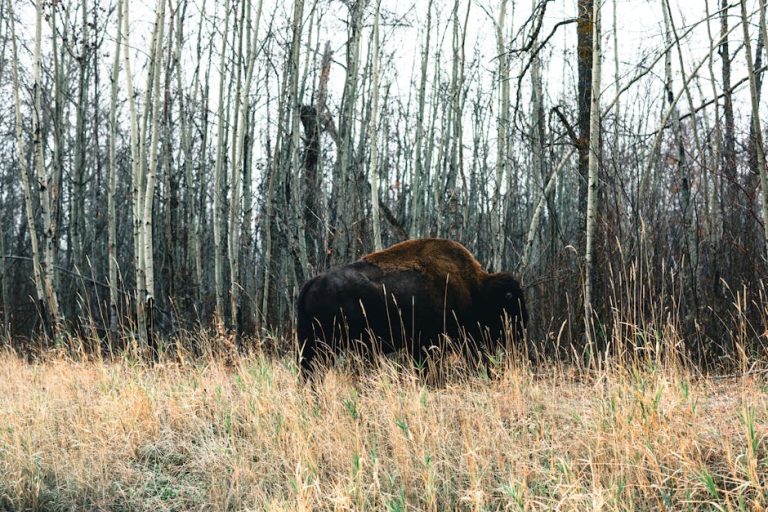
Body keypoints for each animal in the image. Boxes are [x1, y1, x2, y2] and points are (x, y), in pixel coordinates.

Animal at [297, 238, 527, 378]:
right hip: (326, 345)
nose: (521, 331)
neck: (474, 288)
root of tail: (312, 283)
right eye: (511, 302)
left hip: (313, 345)